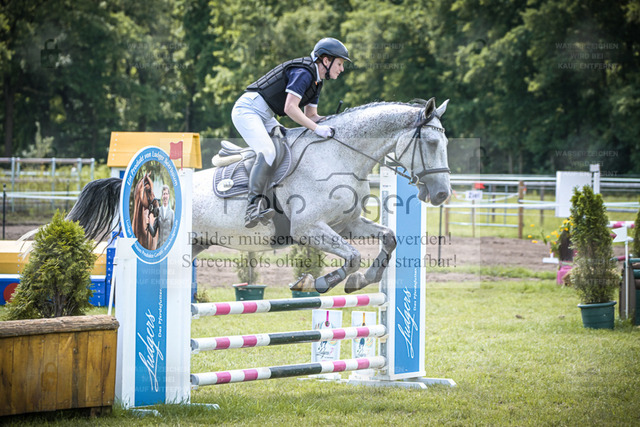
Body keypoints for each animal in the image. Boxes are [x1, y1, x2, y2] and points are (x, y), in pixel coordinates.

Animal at [67, 97, 451, 294]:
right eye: (432, 143)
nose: (442, 194)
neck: (339, 156)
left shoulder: (347, 224)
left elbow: (388, 238)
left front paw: (361, 281)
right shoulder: (309, 229)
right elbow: (353, 256)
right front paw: (322, 282)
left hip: (195, 243)